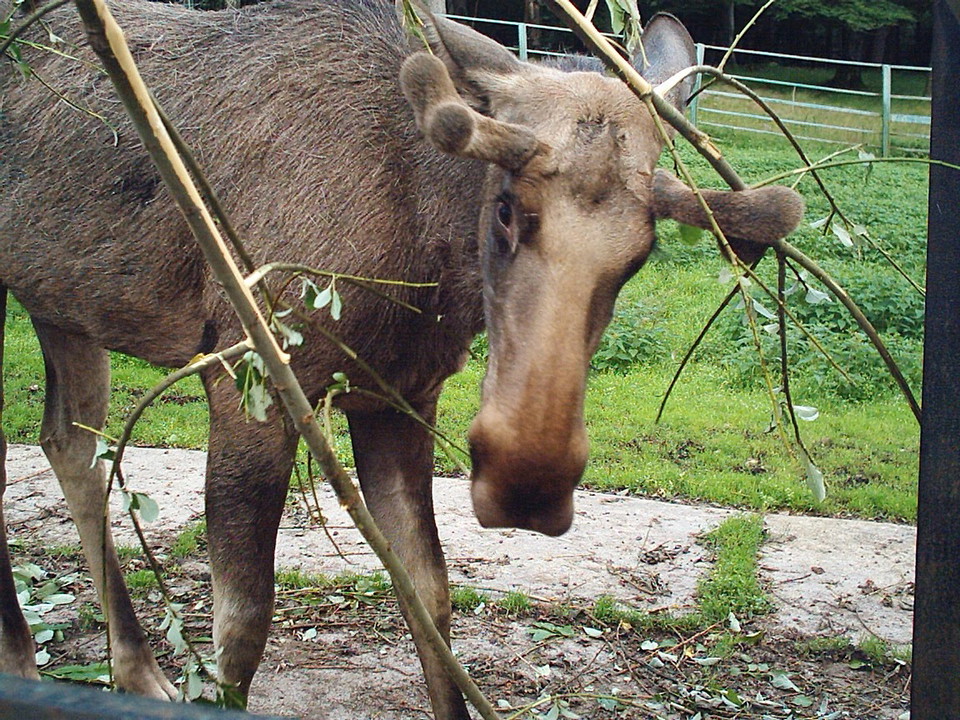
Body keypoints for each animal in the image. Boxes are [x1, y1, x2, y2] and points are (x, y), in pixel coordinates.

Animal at [0, 0, 804, 716]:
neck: (423, 259)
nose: (529, 481)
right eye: (505, 209)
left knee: (68, 443)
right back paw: (26, 662)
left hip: (63, 302)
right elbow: (242, 624)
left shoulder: (401, 393)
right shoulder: (249, 373)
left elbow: (429, 590)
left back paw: (133, 670)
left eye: (640, 254)